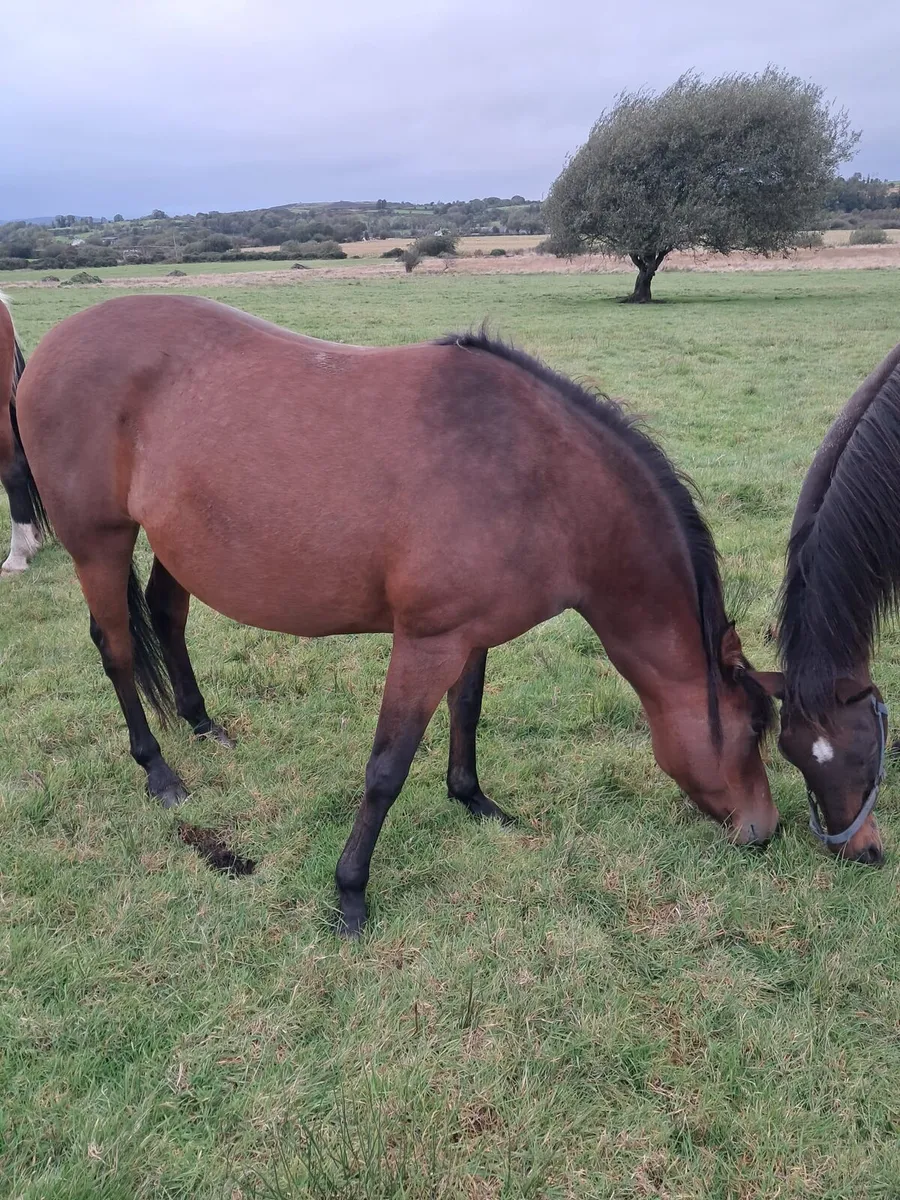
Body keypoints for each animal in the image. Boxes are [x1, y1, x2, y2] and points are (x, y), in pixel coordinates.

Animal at [13, 294, 777, 935]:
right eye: (751, 733)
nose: (763, 831)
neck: (537, 474)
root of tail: (53, 343)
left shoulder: (470, 636)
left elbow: (467, 712)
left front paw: (473, 800)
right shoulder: (426, 642)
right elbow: (387, 767)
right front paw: (350, 892)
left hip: (179, 545)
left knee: (167, 618)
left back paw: (203, 725)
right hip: (99, 543)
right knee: (116, 647)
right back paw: (160, 773)